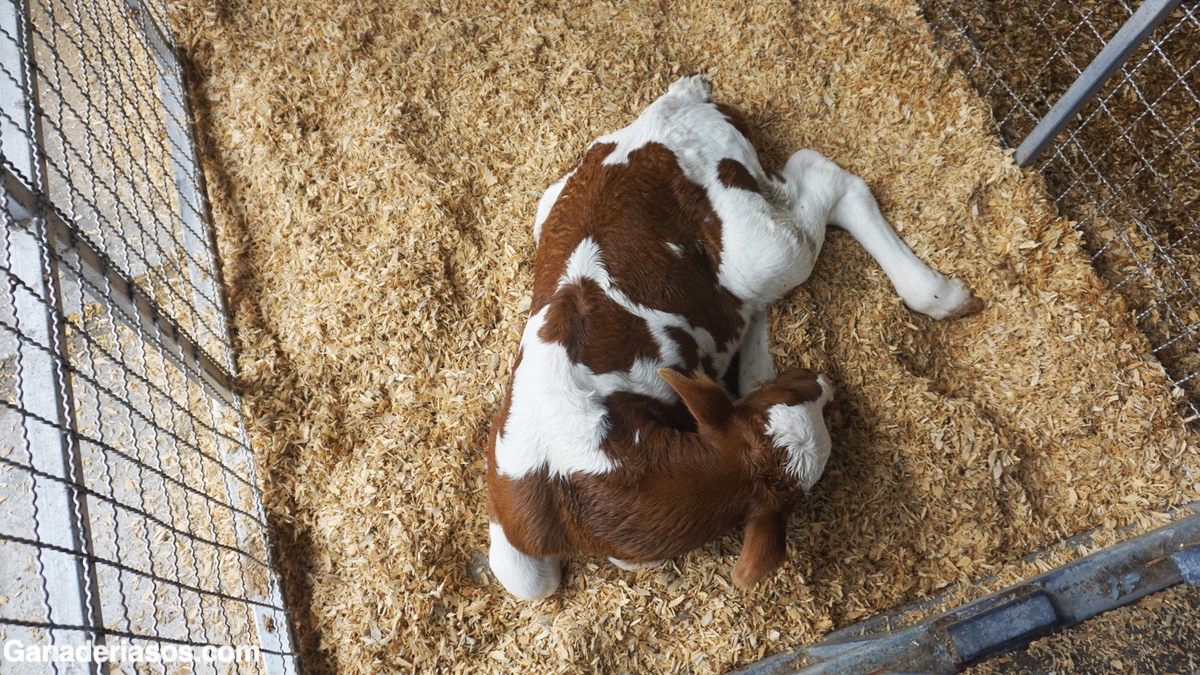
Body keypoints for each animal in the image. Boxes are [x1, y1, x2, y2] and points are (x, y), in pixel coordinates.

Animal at [487, 74, 984, 598]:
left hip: (761, 249)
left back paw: (939, 295)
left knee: (826, 180)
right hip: (558, 200)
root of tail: (667, 116)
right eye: (777, 399)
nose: (822, 381)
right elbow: (527, 579)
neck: (583, 479)